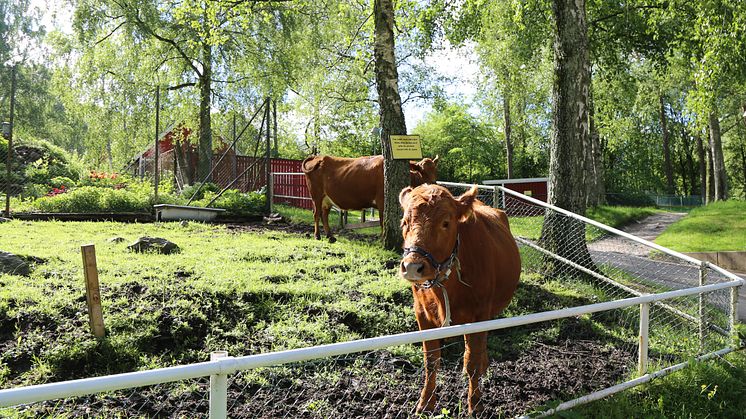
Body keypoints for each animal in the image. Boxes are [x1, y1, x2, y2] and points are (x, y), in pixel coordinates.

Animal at [300, 156, 436, 244]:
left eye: (435, 170)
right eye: (421, 170)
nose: (433, 184)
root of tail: (319, 157)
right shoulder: (382, 202)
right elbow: (382, 222)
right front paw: (382, 238)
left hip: (326, 199)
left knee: (324, 215)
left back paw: (330, 236)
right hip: (316, 196)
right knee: (317, 214)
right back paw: (317, 236)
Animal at [396, 185, 524, 416]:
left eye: (446, 223)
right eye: (404, 222)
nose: (412, 266)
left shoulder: (480, 314)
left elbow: (472, 360)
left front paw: (476, 405)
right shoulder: (422, 314)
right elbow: (431, 361)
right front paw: (426, 403)